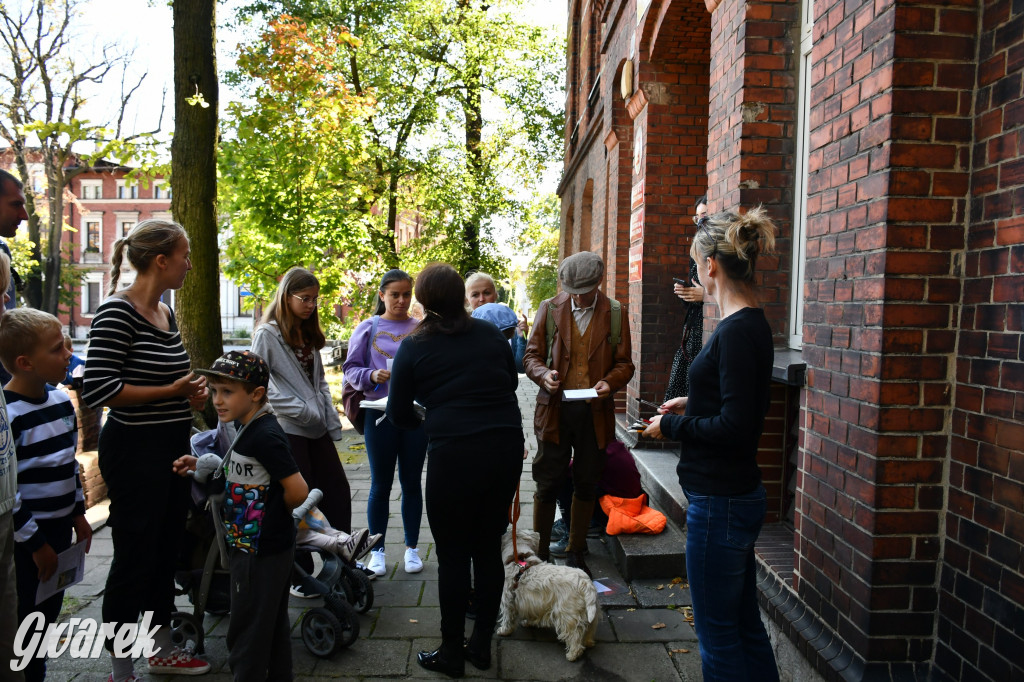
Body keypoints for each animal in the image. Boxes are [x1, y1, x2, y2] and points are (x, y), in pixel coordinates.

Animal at [493, 524, 598, 659]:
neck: (518, 558)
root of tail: (585, 582)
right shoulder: (533, 604)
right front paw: (527, 622)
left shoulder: (507, 599)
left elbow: (507, 617)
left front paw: (504, 631)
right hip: (590, 612)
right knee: (589, 629)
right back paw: (588, 642)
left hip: (567, 613)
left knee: (575, 634)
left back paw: (572, 654)